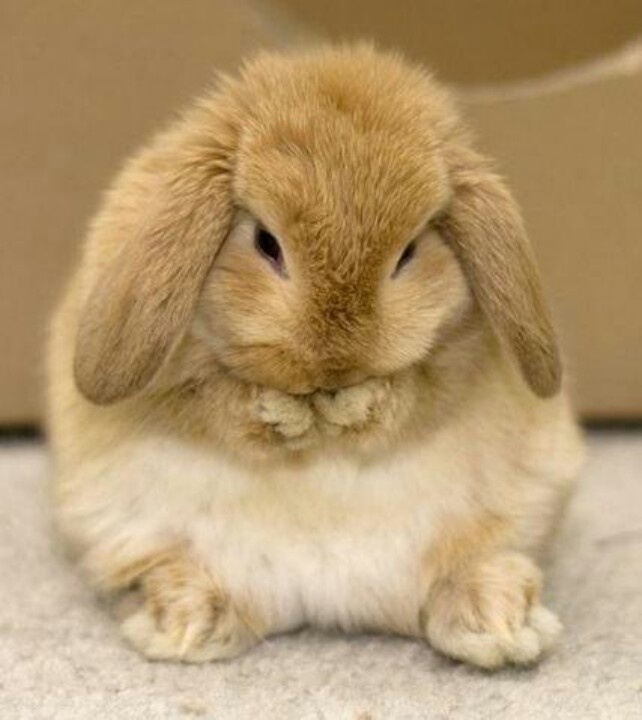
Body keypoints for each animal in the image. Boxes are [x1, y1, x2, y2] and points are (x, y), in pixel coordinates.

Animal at [47, 43, 584, 669]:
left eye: (408, 251)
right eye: (266, 243)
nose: (335, 363)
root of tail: (327, 603)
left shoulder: (454, 361)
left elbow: (418, 391)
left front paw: (351, 407)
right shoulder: (182, 387)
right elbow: (215, 399)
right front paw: (288, 414)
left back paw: (497, 628)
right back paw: (187, 625)